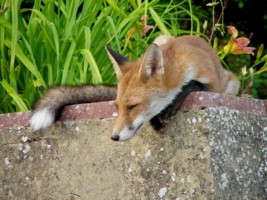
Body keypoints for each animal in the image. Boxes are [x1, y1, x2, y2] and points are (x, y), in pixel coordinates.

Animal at [29, 34, 241, 141]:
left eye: (132, 106)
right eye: (117, 107)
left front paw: (169, 108)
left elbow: (192, 85)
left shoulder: (216, 85)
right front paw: (156, 119)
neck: (182, 62)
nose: (114, 137)